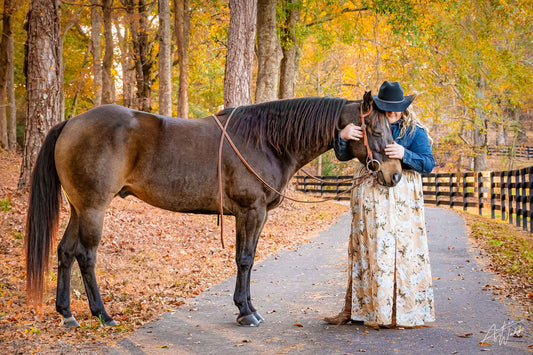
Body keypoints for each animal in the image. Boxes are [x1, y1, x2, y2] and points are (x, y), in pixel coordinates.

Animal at [23, 92, 400, 328]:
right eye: (374, 129)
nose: (394, 174)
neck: (267, 141)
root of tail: (71, 122)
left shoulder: (255, 215)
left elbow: (248, 258)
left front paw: (247, 307)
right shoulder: (251, 212)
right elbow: (245, 259)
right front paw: (246, 312)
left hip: (78, 208)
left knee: (65, 252)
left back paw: (67, 314)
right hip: (93, 208)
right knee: (85, 256)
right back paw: (103, 314)